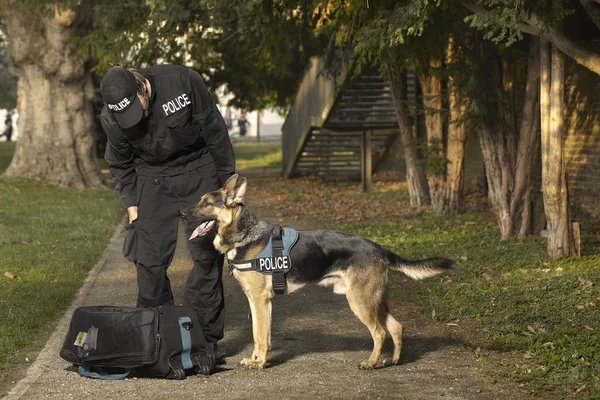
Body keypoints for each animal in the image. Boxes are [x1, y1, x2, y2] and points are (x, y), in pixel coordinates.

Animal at [183, 177, 454, 370]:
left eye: (207, 203)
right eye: (200, 199)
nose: (181, 213)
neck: (245, 233)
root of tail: (378, 247)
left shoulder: (260, 300)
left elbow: (260, 334)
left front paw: (259, 363)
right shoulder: (258, 301)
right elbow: (260, 334)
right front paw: (257, 359)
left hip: (360, 302)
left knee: (380, 333)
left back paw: (371, 362)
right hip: (375, 301)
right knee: (397, 328)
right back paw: (393, 361)